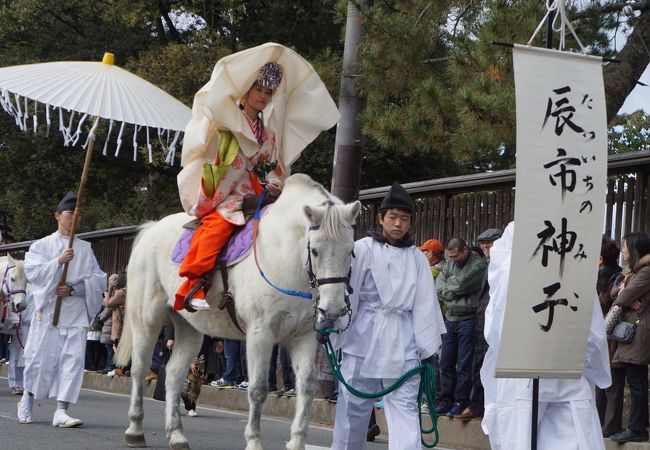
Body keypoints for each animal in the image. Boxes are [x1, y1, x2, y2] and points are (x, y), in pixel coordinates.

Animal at [116, 174, 360, 448]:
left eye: (350, 251)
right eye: (316, 250)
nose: (334, 308)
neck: (287, 260)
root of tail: (152, 228)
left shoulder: (304, 335)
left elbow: (306, 387)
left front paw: (297, 442)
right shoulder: (260, 333)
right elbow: (258, 389)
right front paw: (254, 441)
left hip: (189, 327)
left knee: (173, 375)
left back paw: (176, 434)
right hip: (146, 318)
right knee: (139, 368)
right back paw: (135, 429)